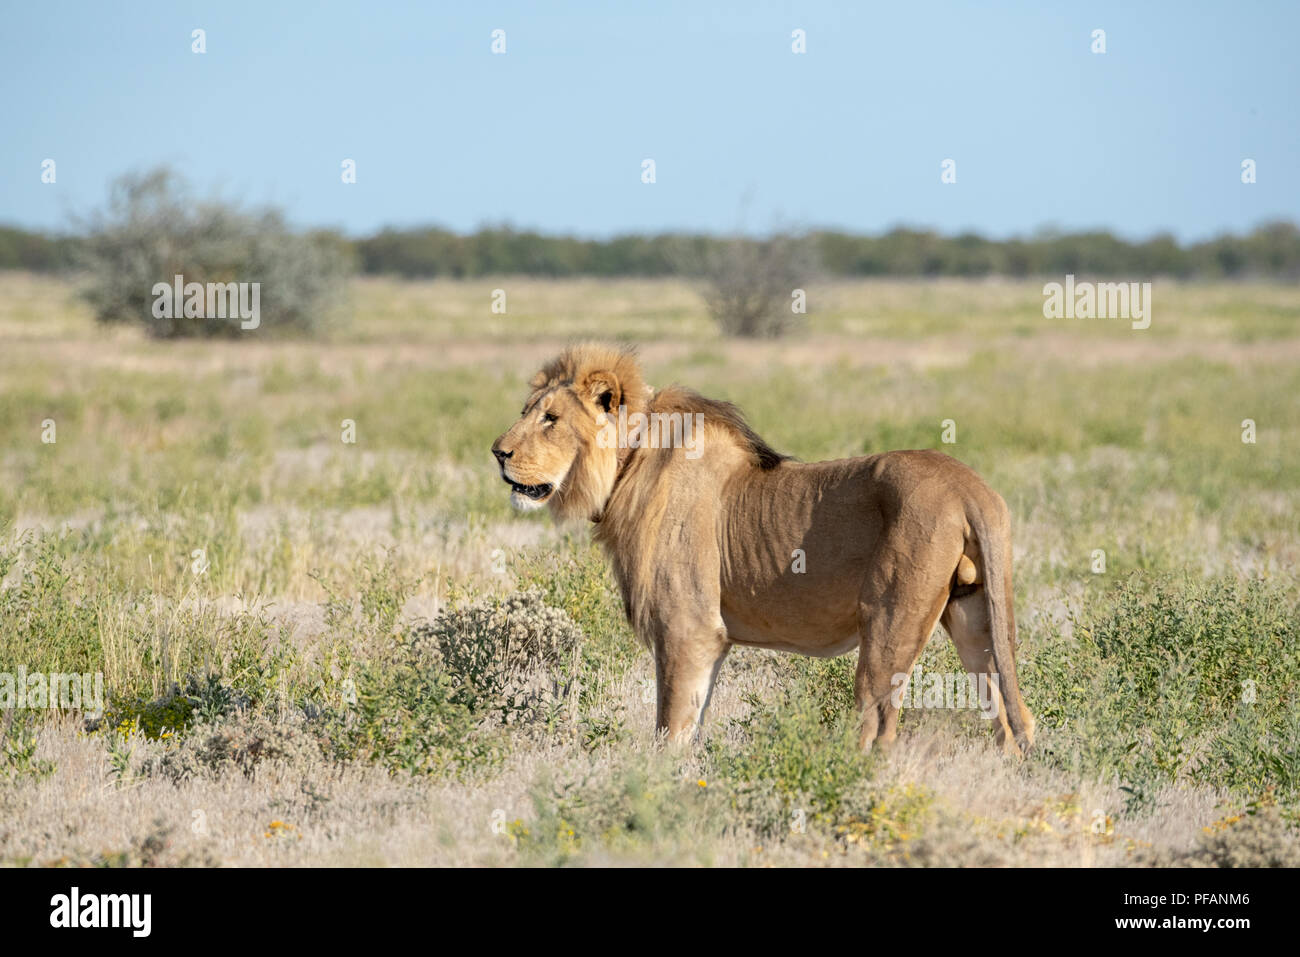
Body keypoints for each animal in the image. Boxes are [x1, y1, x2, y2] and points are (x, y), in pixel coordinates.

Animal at [488, 343, 1034, 754]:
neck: (628, 464)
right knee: (1009, 716)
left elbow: (670, 731)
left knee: (878, 725)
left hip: (888, 623)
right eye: (527, 413)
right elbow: (692, 723)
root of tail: (969, 486)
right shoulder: (714, 638)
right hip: (973, 616)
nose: (497, 452)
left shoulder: (687, 628)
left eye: (551, 419)